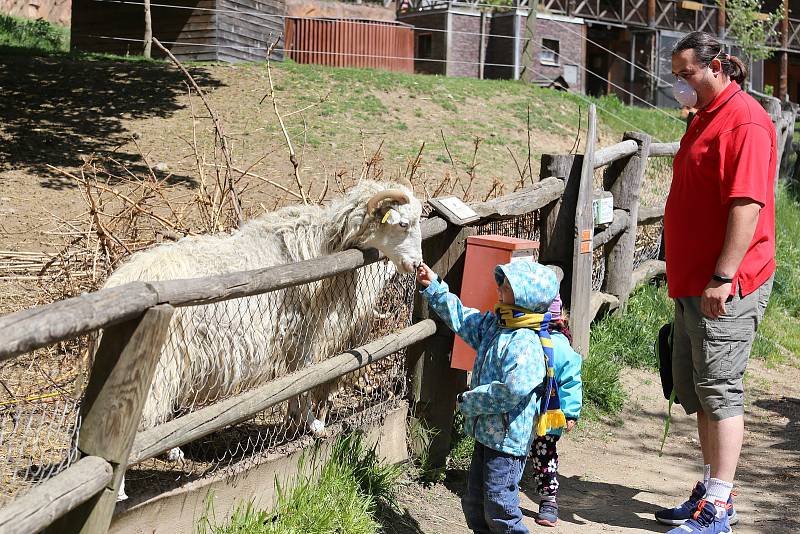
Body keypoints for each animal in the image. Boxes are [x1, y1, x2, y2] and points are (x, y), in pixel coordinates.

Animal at [104, 182, 424, 500]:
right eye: (403, 224)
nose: (417, 265)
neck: (322, 246)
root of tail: (119, 283)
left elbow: (296, 379)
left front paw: (296, 419)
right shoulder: (301, 332)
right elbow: (305, 377)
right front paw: (313, 424)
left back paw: (171, 452)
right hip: (158, 367)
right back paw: (120, 492)